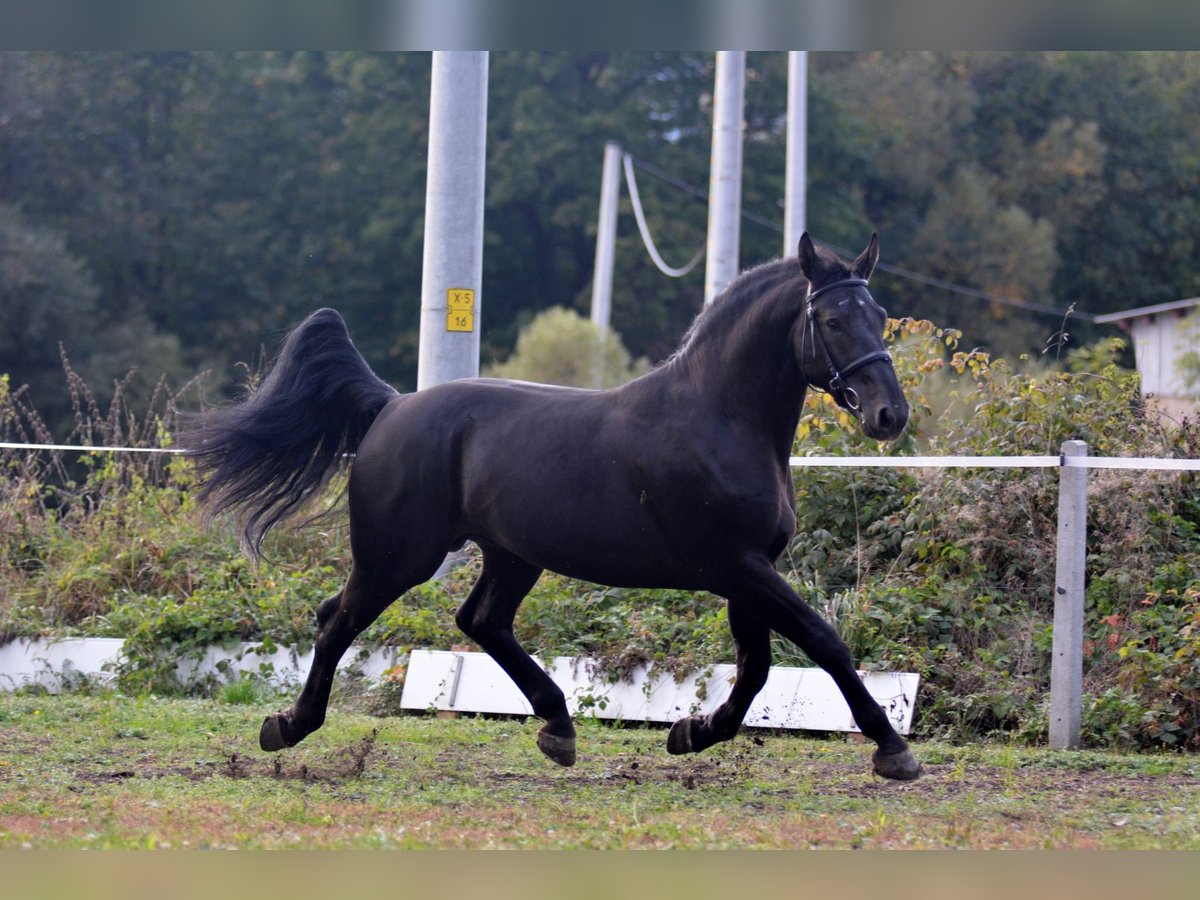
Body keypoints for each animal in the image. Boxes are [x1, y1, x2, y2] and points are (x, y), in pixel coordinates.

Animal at [184, 232, 916, 782]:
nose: (890, 414)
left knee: (478, 621)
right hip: (400, 556)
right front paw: (892, 750)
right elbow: (822, 641)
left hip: (510, 555)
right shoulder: (736, 566)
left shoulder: (749, 570)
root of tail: (392, 405)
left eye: (879, 317)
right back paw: (287, 727)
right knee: (339, 621)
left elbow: (757, 667)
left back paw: (558, 729)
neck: (722, 419)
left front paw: (691, 732)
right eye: (831, 320)